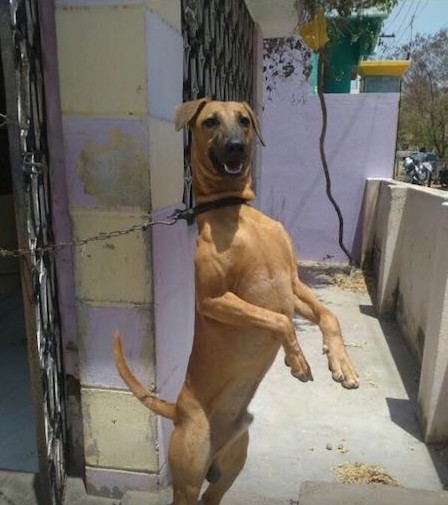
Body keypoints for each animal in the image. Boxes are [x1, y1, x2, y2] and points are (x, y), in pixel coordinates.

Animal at [113, 98, 360, 504]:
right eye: (210, 121)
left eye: (244, 121)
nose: (236, 148)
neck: (237, 213)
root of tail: (178, 409)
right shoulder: (214, 300)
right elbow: (279, 320)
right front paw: (296, 359)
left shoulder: (292, 284)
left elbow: (327, 316)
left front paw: (341, 363)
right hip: (188, 478)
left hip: (230, 468)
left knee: (215, 493)